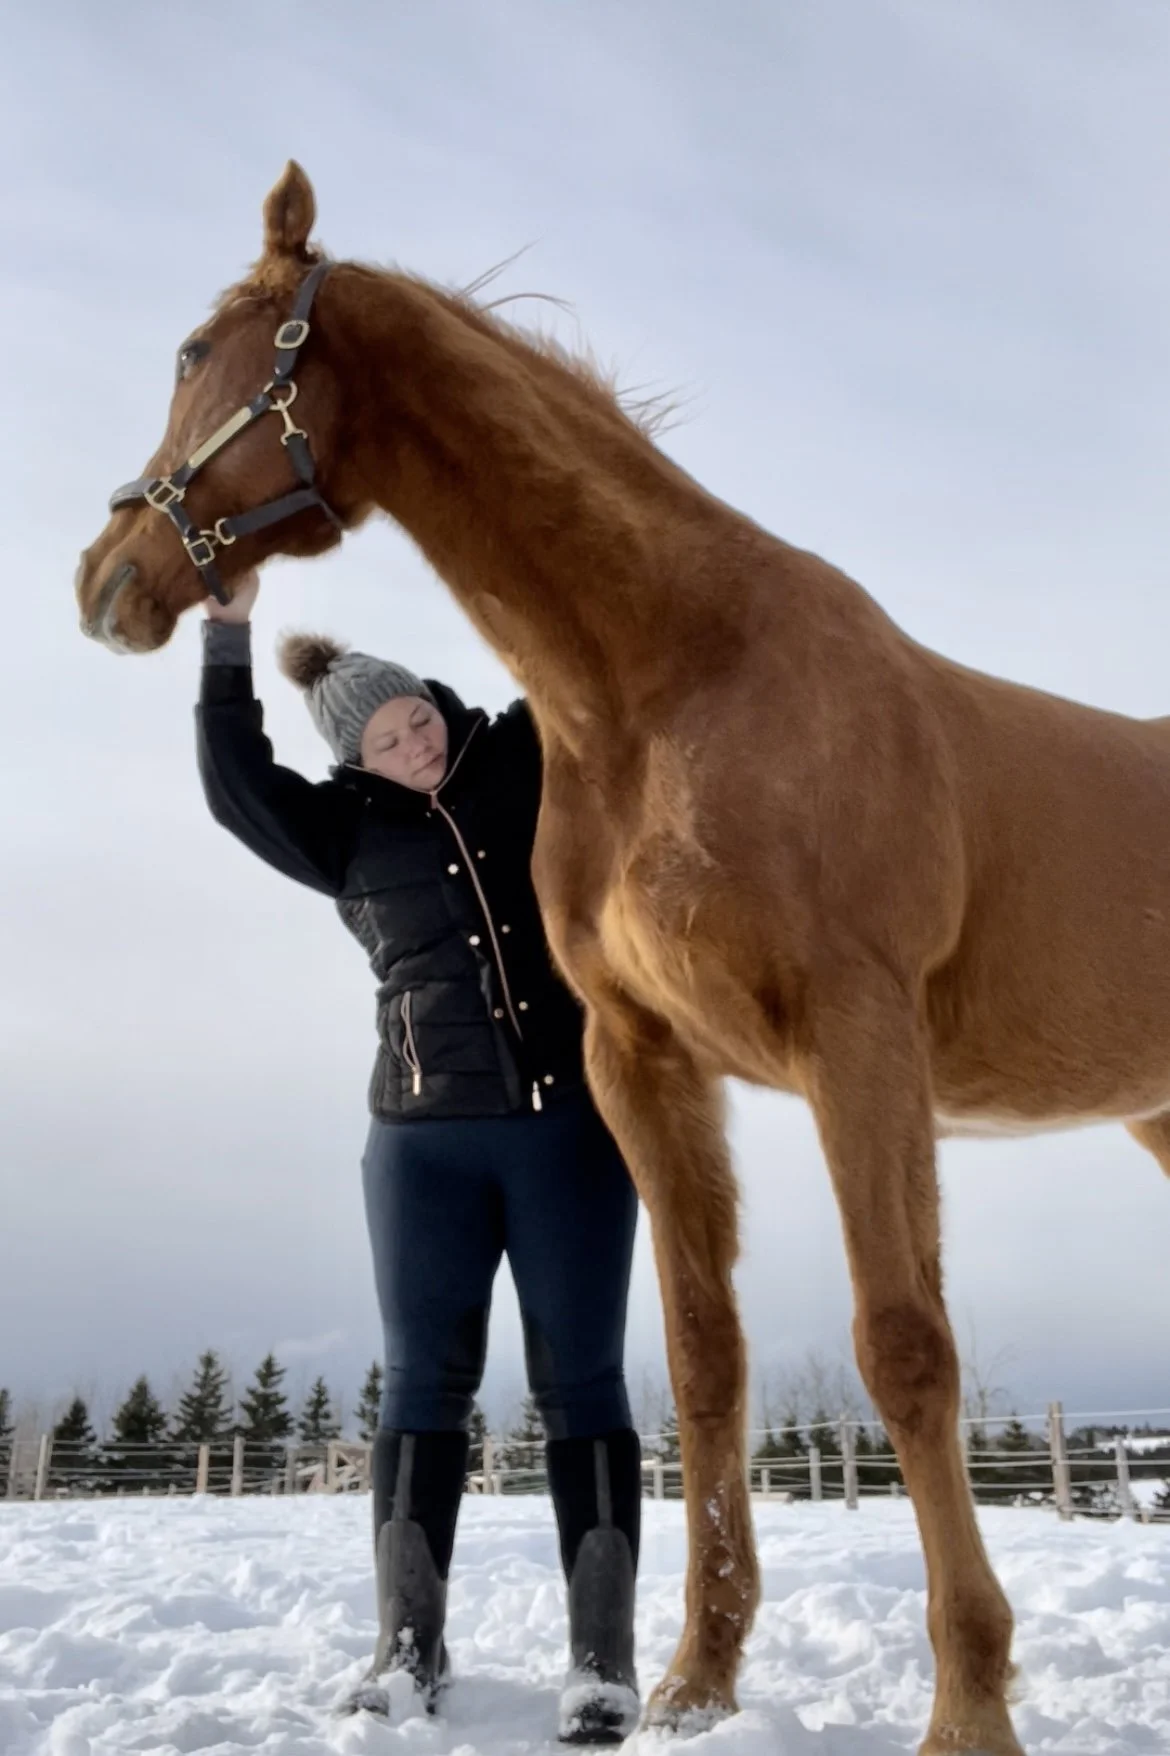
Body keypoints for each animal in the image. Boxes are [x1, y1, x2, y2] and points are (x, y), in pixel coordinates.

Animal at [75, 161, 1170, 1756]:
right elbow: (703, 1359)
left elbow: (905, 1347)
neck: (676, 680)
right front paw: (692, 1680)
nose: (105, 576)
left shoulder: (860, 1042)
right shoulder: (640, 1058)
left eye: (192, 351)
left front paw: (970, 1706)